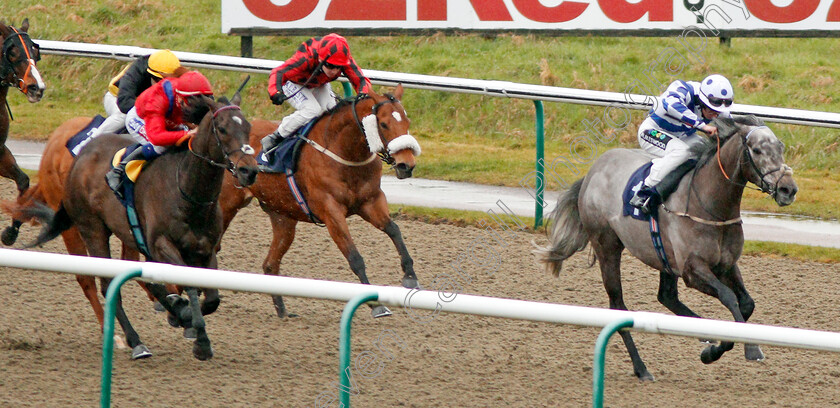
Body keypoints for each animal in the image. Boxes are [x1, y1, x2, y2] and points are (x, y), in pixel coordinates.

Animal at [26, 95, 258, 360]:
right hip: (92, 229)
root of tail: (80, 156)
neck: (188, 192)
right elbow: (187, 285)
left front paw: (193, 327)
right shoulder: (160, 245)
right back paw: (136, 341)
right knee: (108, 285)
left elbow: (211, 298)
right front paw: (195, 332)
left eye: (248, 128)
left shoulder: (205, 249)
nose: (249, 170)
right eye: (222, 129)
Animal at [220, 84, 424, 318]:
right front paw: (376, 304)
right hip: (225, 205)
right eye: (383, 124)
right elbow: (354, 257)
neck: (344, 151)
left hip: (282, 216)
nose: (406, 165)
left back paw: (283, 312)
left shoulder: (370, 201)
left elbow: (394, 230)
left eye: (407, 122)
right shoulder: (331, 212)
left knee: (270, 264)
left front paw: (410, 277)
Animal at [536, 115, 796, 382]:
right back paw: (641, 368)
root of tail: (592, 172)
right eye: (757, 150)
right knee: (618, 305)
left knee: (667, 296)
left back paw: (703, 336)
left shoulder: (726, 265)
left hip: (664, 258)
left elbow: (746, 303)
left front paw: (719, 347)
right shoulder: (693, 269)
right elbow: (729, 298)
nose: (788, 189)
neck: (711, 205)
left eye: (780, 148)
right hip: (607, 246)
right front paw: (741, 349)